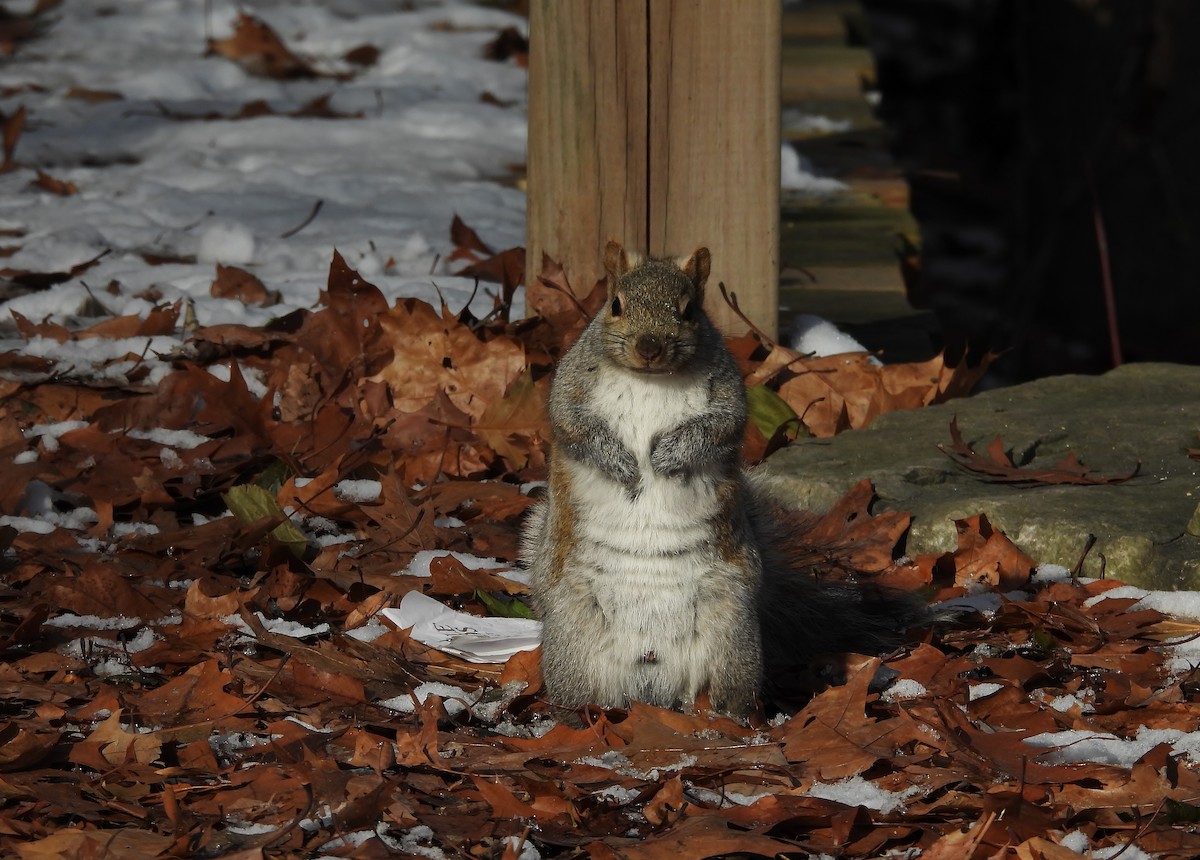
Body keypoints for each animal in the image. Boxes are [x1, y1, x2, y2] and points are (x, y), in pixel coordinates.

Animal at [522, 242, 926, 717]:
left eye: (689, 310)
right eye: (615, 305)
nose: (649, 346)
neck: (650, 379)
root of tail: (649, 687)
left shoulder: (729, 397)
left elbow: (717, 429)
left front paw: (668, 457)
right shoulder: (569, 389)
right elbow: (574, 425)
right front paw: (621, 463)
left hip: (731, 633)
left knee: (730, 692)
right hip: (573, 636)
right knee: (579, 693)